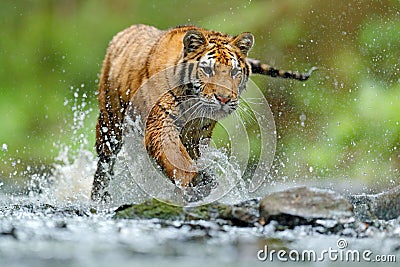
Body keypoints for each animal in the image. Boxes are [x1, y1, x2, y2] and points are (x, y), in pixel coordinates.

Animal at [90, 24, 310, 203]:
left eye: (234, 72)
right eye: (208, 70)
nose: (223, 99)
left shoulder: (196, 134)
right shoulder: (161, 123)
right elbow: (176, 156)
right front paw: (197, 181)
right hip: (110, 123)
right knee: (104, 163)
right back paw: (99, 199)